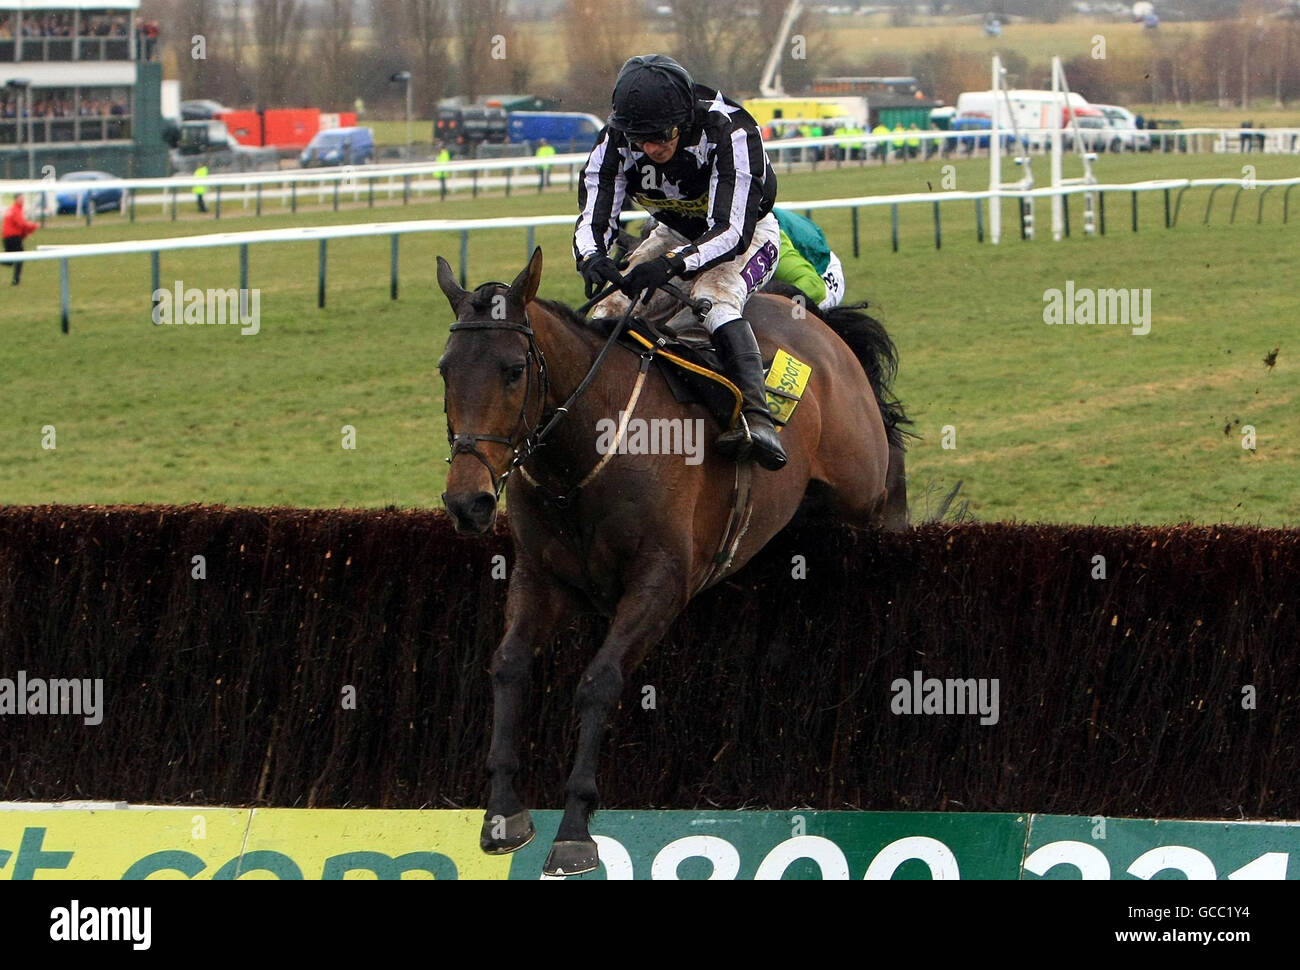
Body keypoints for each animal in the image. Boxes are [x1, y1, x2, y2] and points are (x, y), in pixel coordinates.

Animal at [436, 245, 904, 873]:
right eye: (446, 370)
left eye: (513, 369)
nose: (468, 501)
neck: (587, 451)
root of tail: (821, 324)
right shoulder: (540, 577)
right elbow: (509, 666)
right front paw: (504, 813)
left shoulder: (660, 583)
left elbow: (599, 681)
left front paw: (576, 830)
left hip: (864, 490)